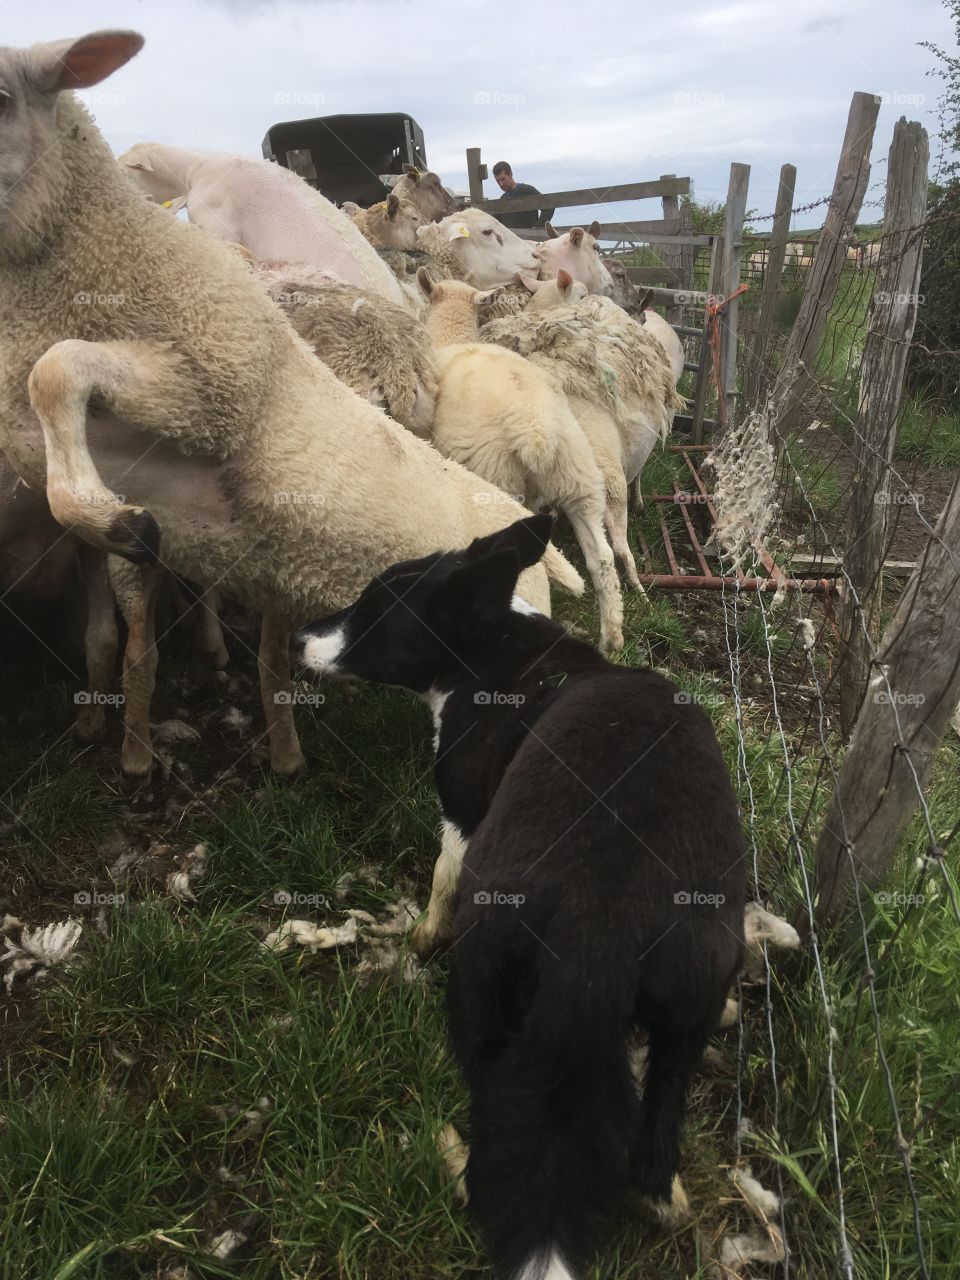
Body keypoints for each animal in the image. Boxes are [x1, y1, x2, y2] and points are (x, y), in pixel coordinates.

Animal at [418, 271, 623, 651]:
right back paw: (612, 637)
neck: (450, 337)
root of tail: (536, 427)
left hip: (497, 477)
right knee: (601, 558)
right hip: (580, 479)